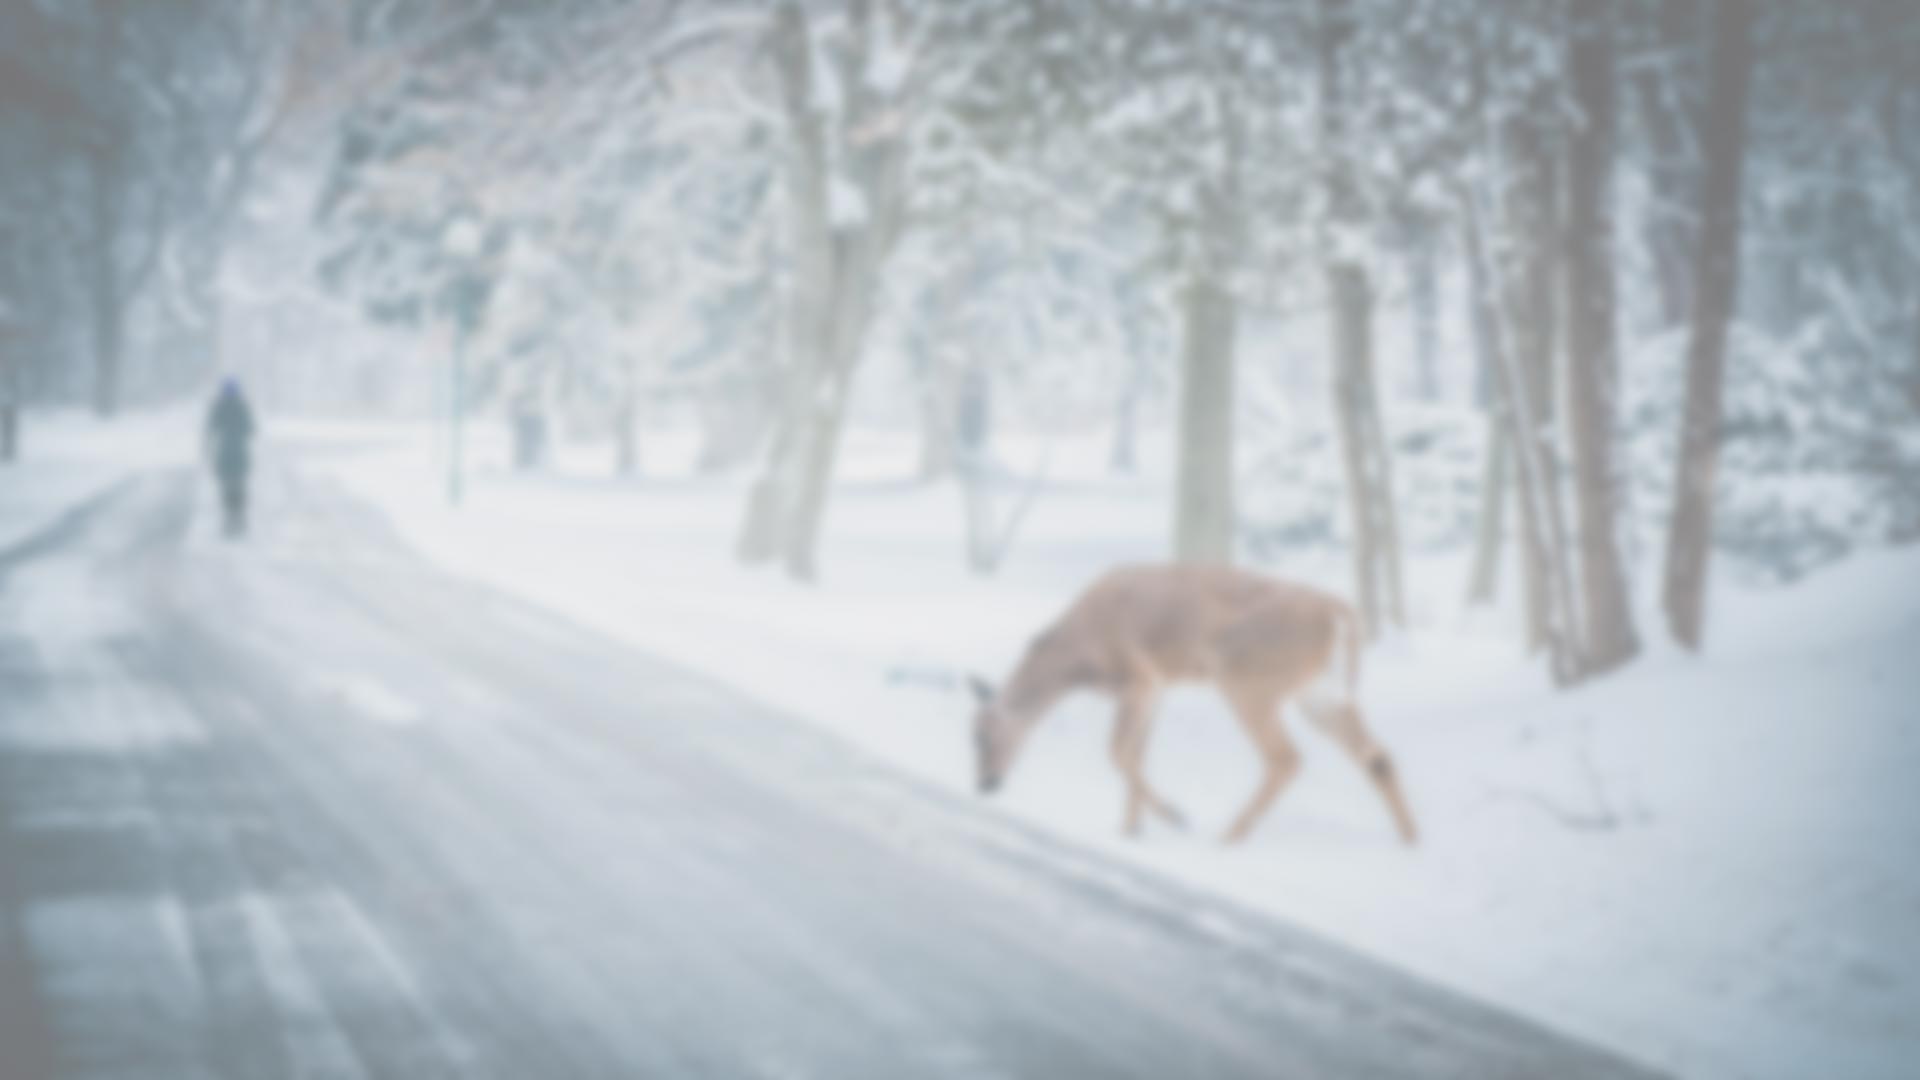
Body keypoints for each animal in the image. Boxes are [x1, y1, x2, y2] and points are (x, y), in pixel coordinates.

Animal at [967, 563, 1418, 846]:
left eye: (983, 736)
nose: (985, 784)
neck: (1077, 660)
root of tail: (1342, 617)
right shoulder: (1156, 689)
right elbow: (1136, 754)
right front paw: (1131, 828)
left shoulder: (1139, 676)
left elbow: (1118, 754)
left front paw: (1173, 815)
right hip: (1321, 693)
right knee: (1377, 756)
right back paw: (1411, 840)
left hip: (1246, 678)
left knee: (1286, 758)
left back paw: (1229, 835)